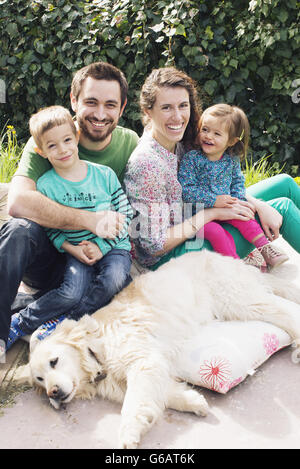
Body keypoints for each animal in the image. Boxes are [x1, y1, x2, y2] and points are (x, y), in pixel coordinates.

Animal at [17, 250, 300, 448]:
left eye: (54, 361)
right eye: (40, 379)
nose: (53, 393)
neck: (96, 349)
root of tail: (223, 258)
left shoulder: (142, 361)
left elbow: (133, 403)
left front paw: (128, 434)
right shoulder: (146, 369)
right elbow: (162, 394)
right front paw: (193, 402)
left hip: (238, 301)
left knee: (286, 312)